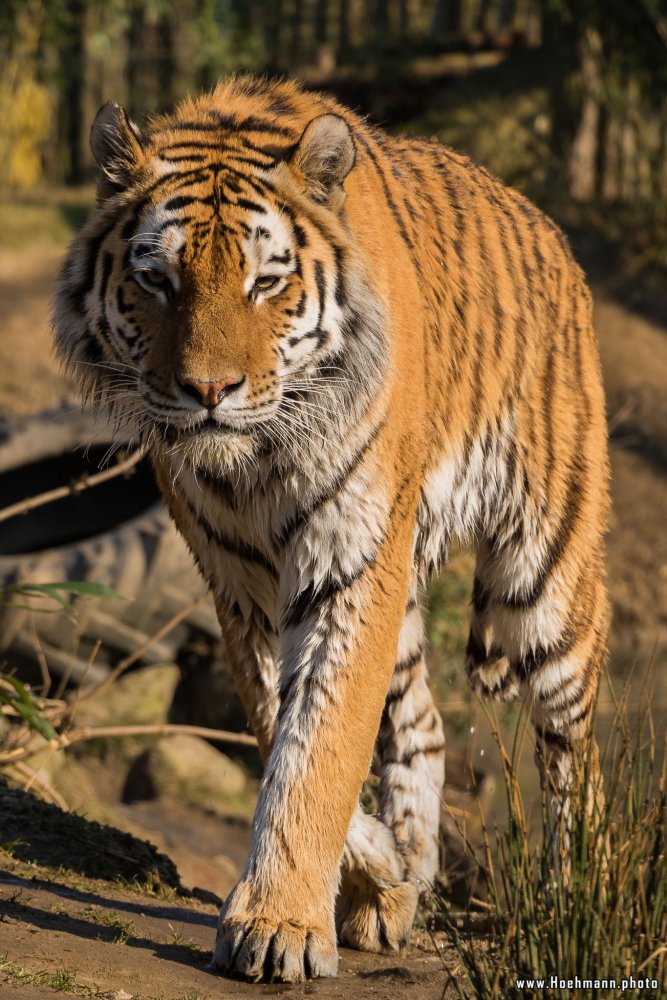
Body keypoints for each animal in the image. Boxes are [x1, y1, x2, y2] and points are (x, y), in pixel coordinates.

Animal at [54, 76, 612, 984]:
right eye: (158, 280)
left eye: (264, 284)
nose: (209, 391)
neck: (250, 463)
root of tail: (550, 230)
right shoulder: (242, 585)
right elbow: (285, 726)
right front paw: (380, 869)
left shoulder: (348, 563)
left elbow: (320, 743)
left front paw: (280, 923)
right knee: (422, 720)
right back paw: (396, 884)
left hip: (544, 577)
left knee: (574, 750)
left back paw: (576, 903)